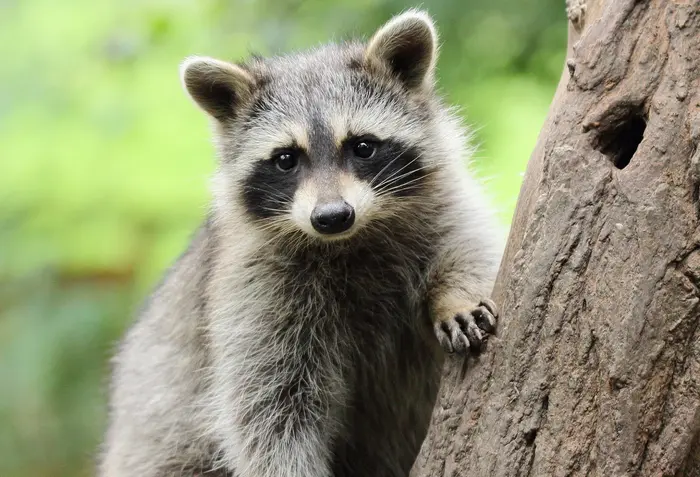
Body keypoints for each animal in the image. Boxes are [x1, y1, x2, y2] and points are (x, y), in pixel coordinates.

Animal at [98, 9, 504, 477]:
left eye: (363, 147)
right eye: (286, 159)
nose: (332, 216)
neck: (351, 240)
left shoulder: (444, 203)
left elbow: (471, 244)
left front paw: (456, 295)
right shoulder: (255, 290)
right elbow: (269, 409)